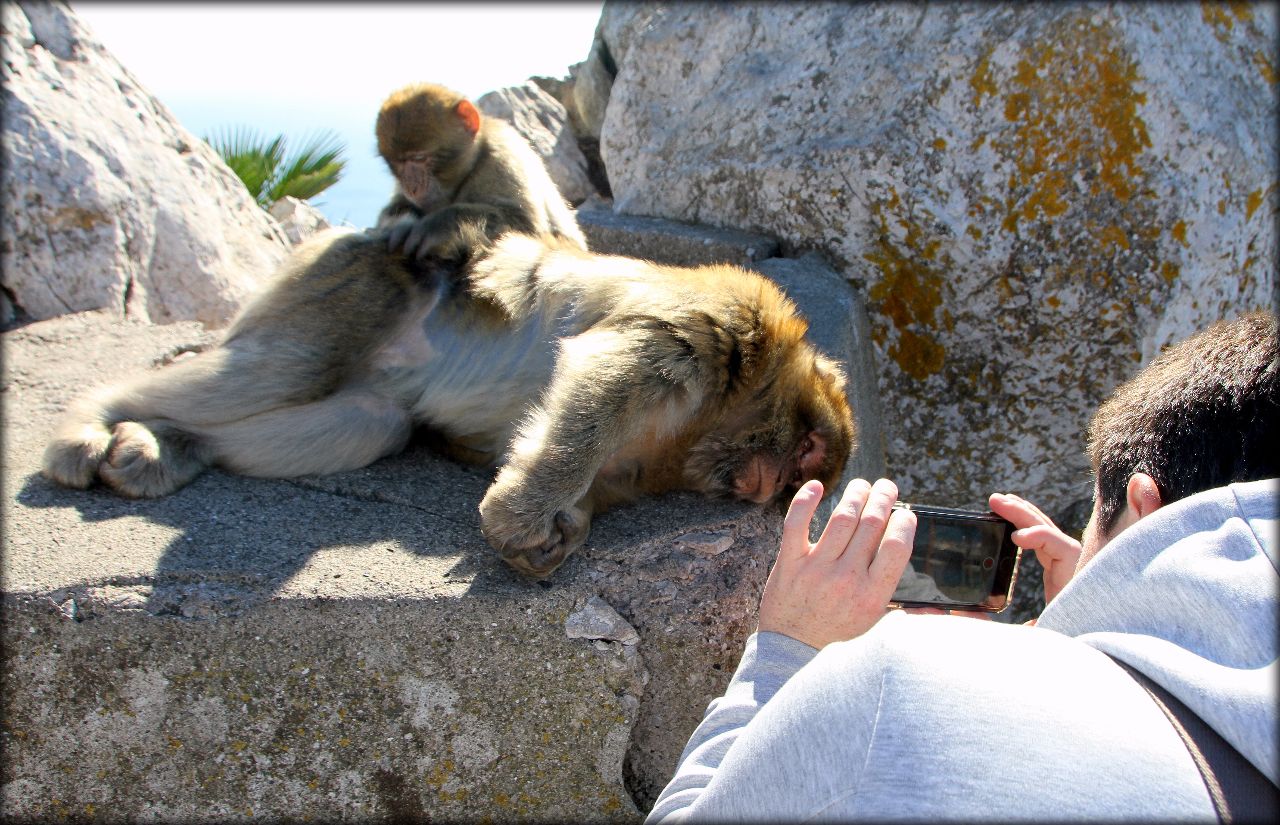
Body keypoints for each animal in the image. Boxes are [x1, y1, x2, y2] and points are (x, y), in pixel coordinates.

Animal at [45, 231, 855, 575]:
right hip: (345, 289)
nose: (762, 487)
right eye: (804, 455)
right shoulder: (729, 324)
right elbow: (613, 368)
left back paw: (172, 443)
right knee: (268, 371)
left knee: (364, 423)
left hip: (365, 368)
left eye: (793, 482)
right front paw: (520, 517)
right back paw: (91, 421)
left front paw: (561, 532)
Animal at [373, 81, 586, 262]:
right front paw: (400, 221)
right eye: (397, 163)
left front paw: (439, 225)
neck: (471, 167)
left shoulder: (503, 158)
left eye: (419, 158)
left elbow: (527, 227)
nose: (412, 187)